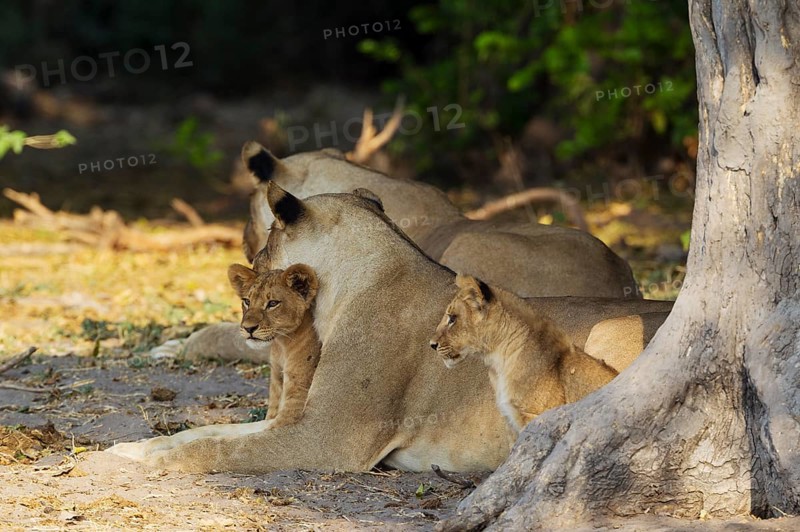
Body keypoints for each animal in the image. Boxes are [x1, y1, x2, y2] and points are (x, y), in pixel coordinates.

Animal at [228, 258, 320, 428]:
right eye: (247, 301)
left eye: (272, 303)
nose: (248, 328)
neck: (282, 345)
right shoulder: (276, 379)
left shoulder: (295, 406)